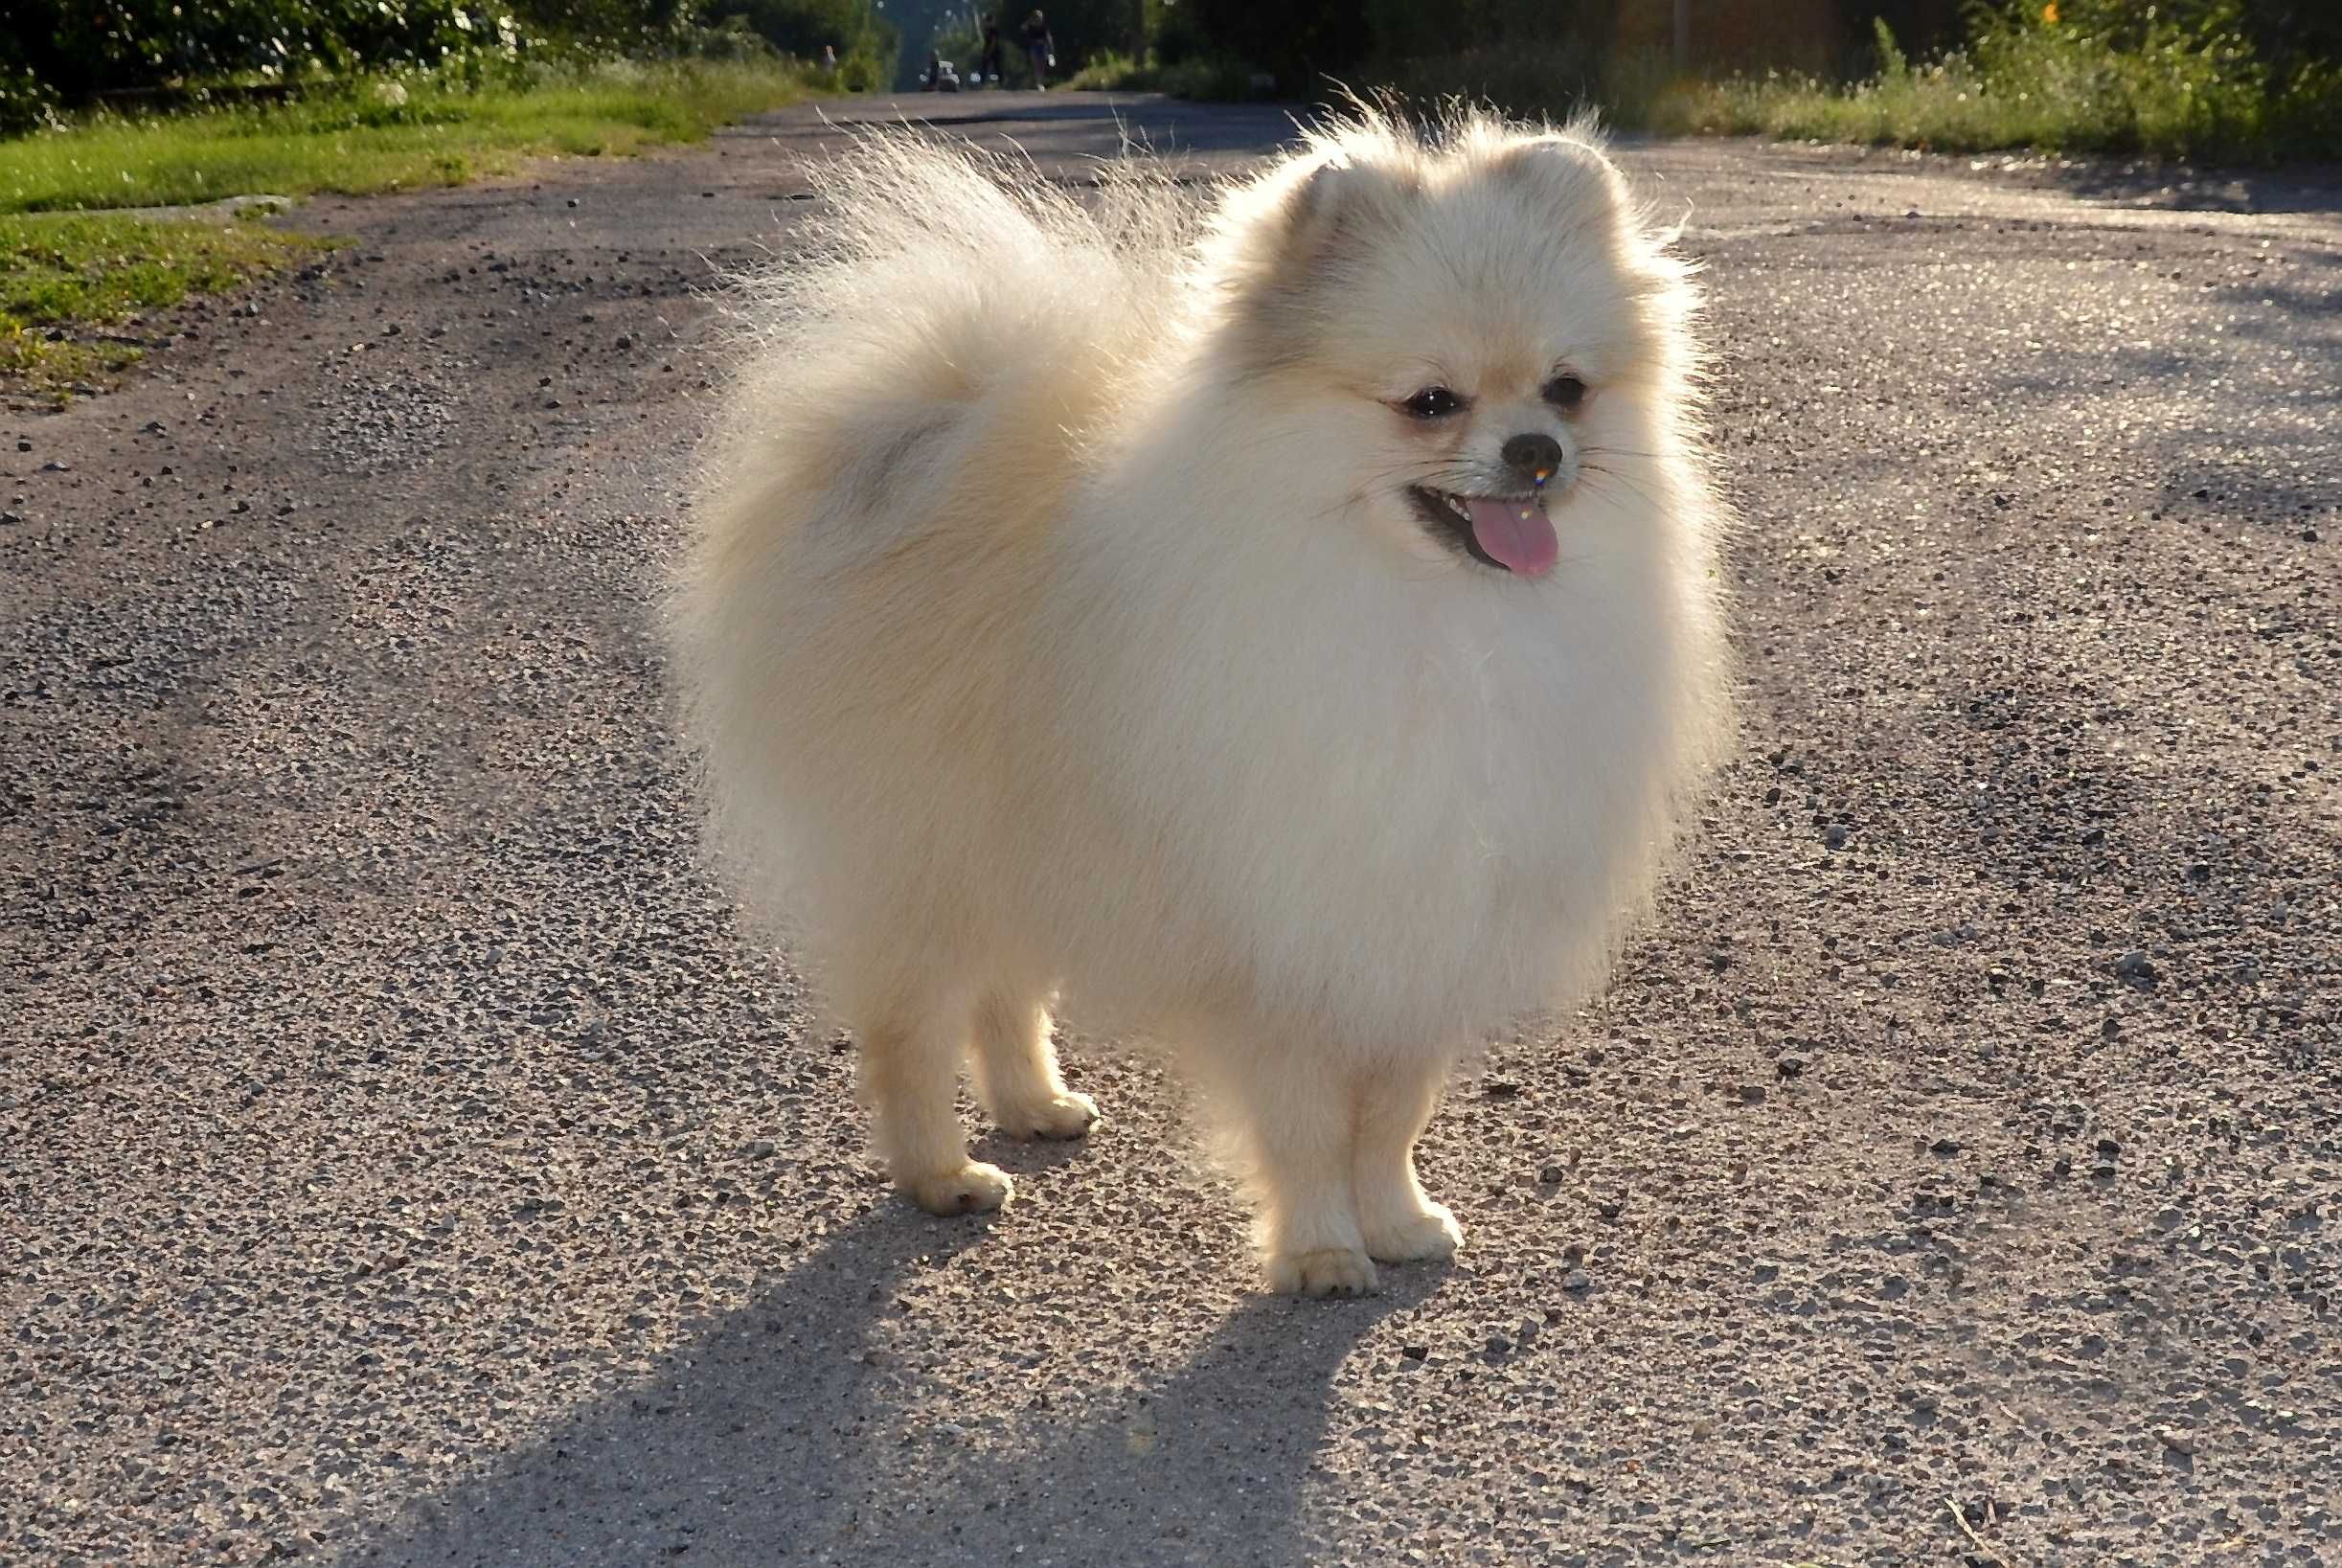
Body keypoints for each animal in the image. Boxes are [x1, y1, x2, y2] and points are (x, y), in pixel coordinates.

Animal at [670, 101, 1733, 1301]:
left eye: (1567, 388)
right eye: (1430, 403)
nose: (1540, 453)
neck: (1434, 618)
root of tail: (933, 415)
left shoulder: (1417, 925)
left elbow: (1391, 1113)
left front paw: (1399, 1218)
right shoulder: (1279, 938)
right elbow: (1309, 1122)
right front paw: (1322, 1248)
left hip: (1019, 838)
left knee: (1004, 989)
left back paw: (1036, 1103)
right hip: (929, 852)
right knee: (913, 1029)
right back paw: (943, 1173)